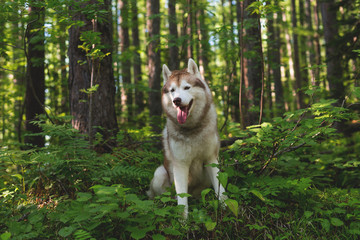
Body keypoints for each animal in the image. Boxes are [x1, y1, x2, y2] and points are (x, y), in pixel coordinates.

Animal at [147, 57, 226, 218]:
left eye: (186, 87)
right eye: (172, 90)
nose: (176, 100)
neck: (192, 129)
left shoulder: (211, 159)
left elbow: (219, 188)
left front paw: (226, 208)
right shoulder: (180, 165)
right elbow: (182, 199)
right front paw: (183, 221)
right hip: (160, 174)